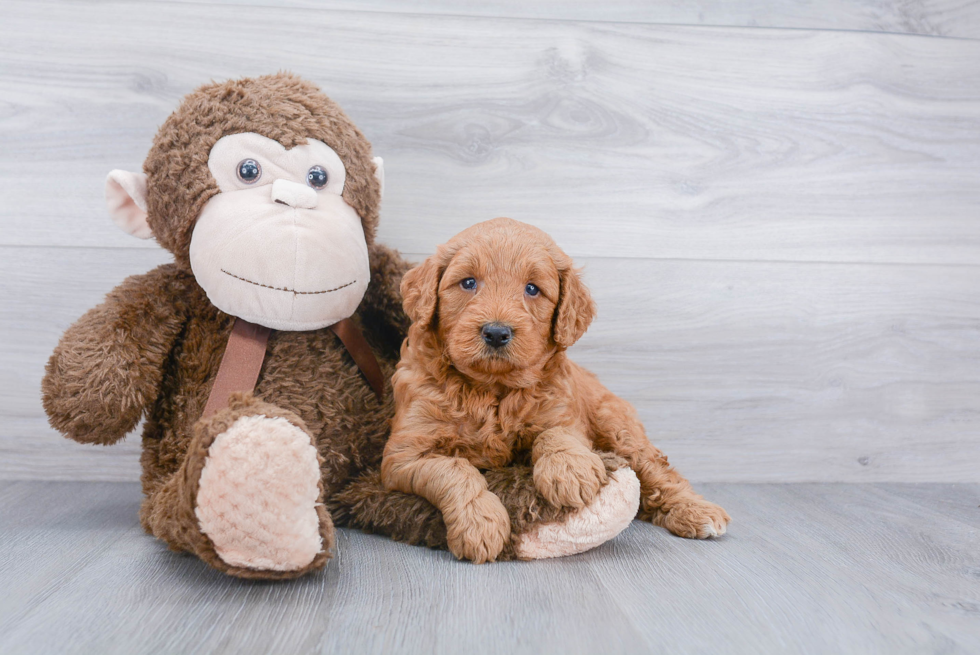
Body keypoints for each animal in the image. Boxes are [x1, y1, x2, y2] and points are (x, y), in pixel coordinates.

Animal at [382, 217, 728, 564]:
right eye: (467, 283)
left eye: (532, 289)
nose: (496, 332)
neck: (492, 389)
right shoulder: (403, 455)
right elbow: (452, 469)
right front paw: (480, 523)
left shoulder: (563, 413)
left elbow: (556, 434)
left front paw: (570, 472)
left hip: (619, 428)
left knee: (660, 472)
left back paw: (697, 512)